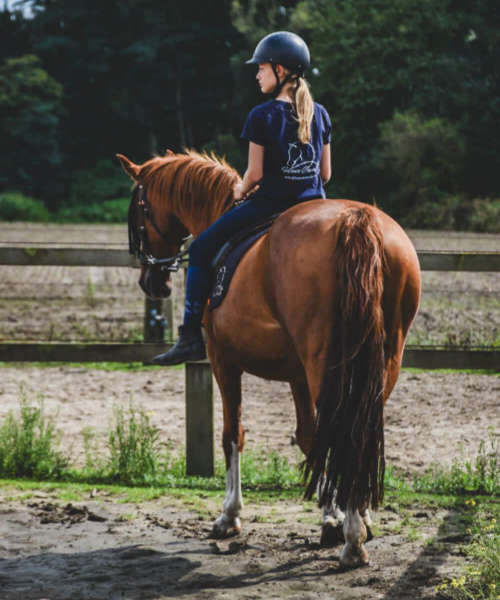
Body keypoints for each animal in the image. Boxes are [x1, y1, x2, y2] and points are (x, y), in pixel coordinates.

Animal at [119, 150, 420, 568]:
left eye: (140, 210)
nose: (152, 281)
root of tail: (358, 221)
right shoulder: (297, 374)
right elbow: (311, 438)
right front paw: (334, 514)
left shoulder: (223, 360)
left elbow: (233, 434)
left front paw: (229, 516)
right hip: (381, 363)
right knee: (359, 432)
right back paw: (356, 522)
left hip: (324, 364)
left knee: (344, 433)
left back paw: (353, 543)